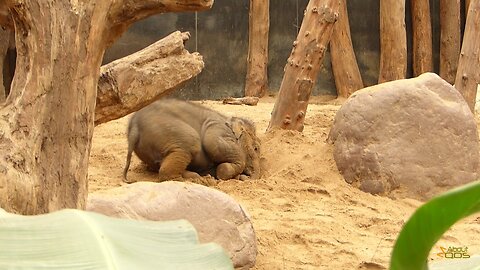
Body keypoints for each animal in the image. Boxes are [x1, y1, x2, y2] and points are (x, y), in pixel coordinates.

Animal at [122, 99, 260, 184]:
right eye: (256, 148)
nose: (249, 176)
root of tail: (134, 125)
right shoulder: (218, 128)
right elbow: (212, 142)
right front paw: (223, 172)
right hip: (169, 130)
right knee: (191, 144)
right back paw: (197, 181)